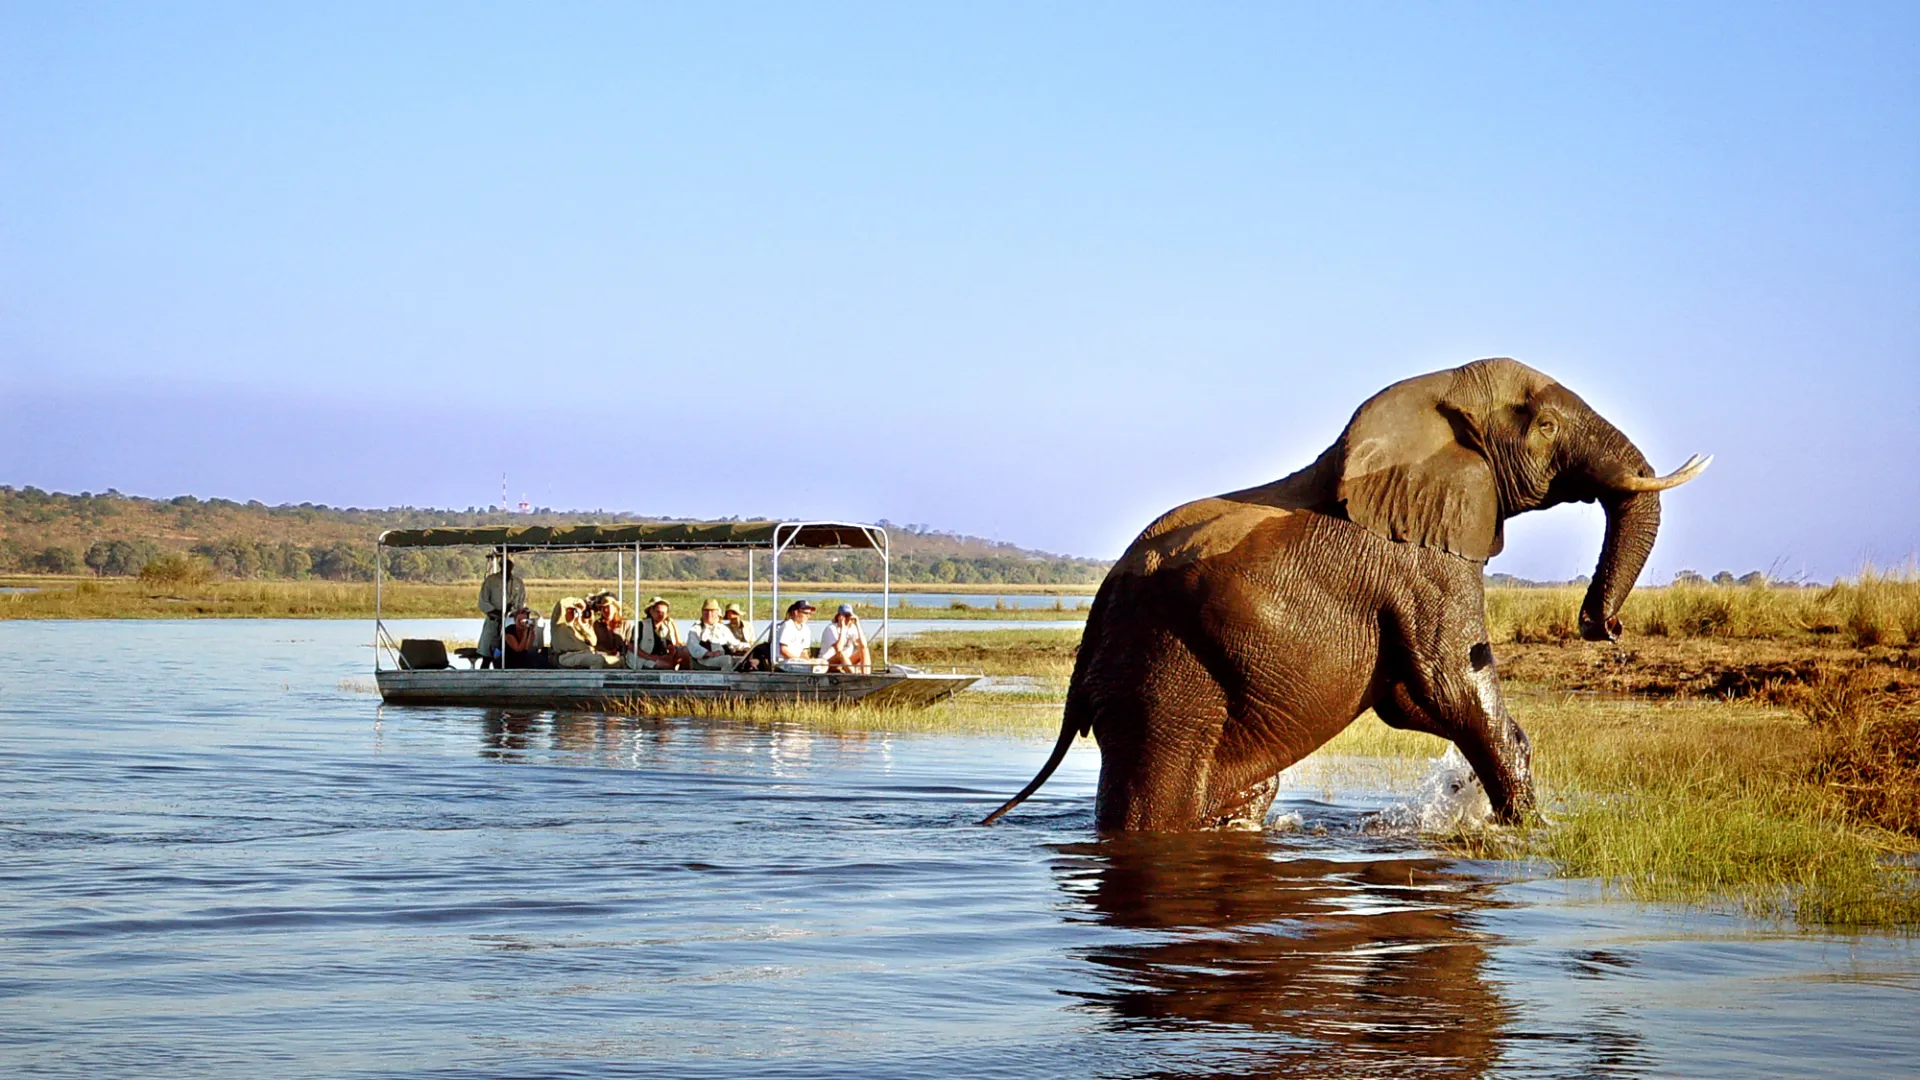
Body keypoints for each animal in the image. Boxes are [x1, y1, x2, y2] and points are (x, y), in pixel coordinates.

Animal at [983, 357, 1707, 831]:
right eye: (1549, 426)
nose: (1604, 627)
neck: (1432, 397)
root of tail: (1094, 620)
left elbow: (1411, 698)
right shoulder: (1423, 561)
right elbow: (1450, 686)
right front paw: (1527, 831)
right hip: (1162, 677)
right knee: (1157, 797)